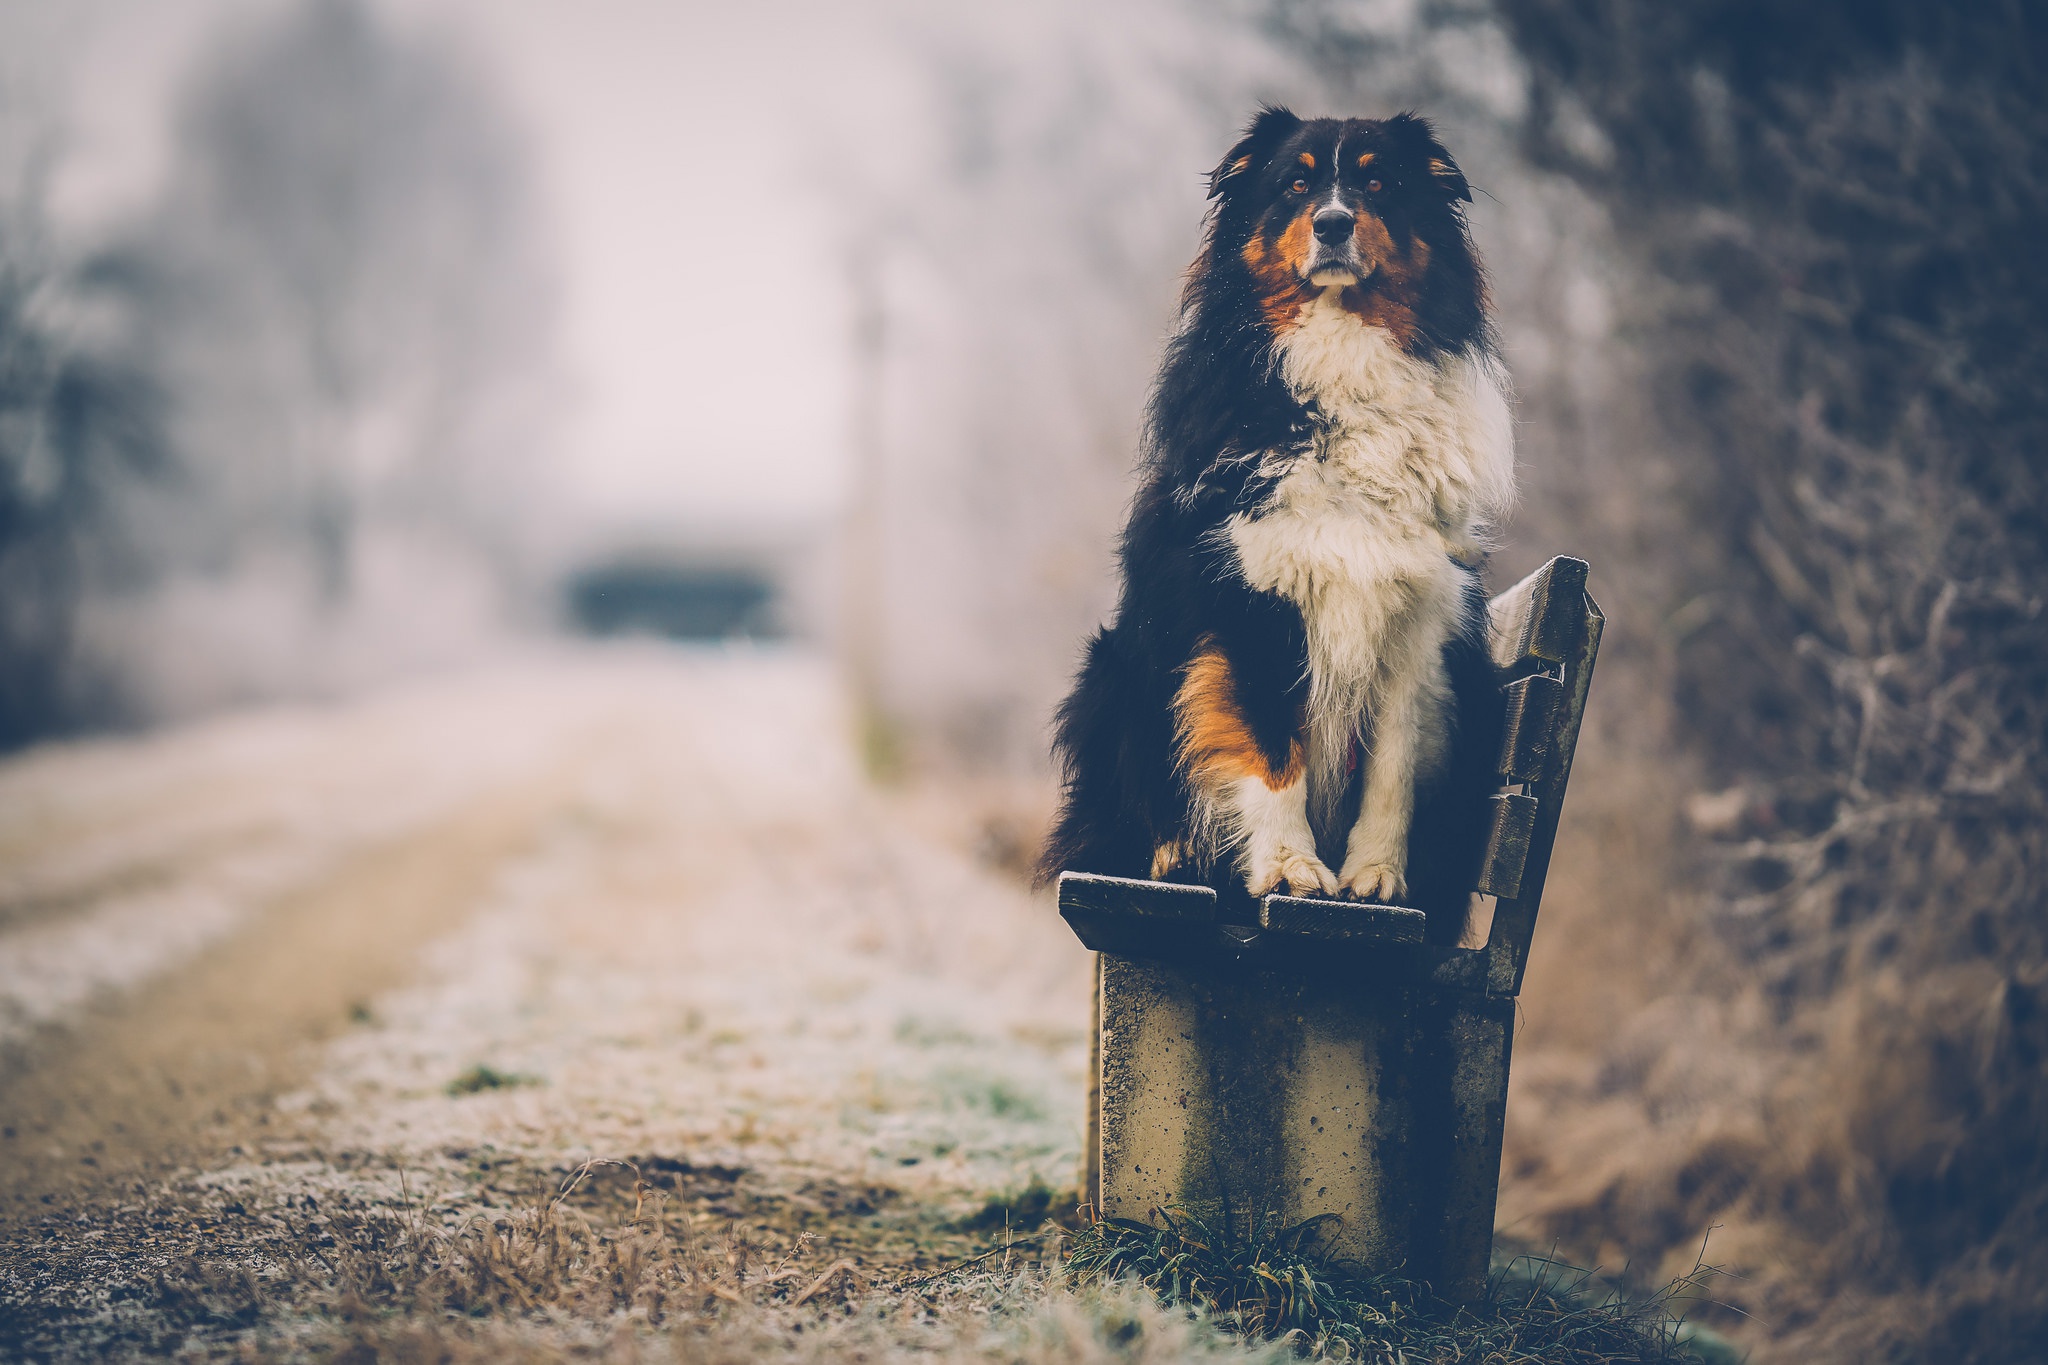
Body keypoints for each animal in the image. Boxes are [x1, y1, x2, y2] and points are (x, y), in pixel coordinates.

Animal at [1040, 106, 1507, 945]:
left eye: (1378, 181)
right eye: (1295, 184)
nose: (1332, 222)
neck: (1343, 357)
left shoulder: (1418, 619)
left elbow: (1392, 761)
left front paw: (1375, 879)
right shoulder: (1251, 601)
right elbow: (1269, 746)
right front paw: (1290, 867)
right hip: (1112, 668)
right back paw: (1171, 856)